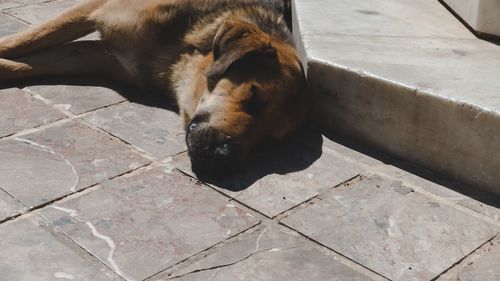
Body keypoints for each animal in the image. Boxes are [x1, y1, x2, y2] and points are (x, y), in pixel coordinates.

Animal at [0, 0, 310, 174]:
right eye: (254, 96)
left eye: (271, 140)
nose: (224, 160)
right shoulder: (95, 10)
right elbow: (23, 40)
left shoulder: (98, 57)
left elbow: (26, 63)